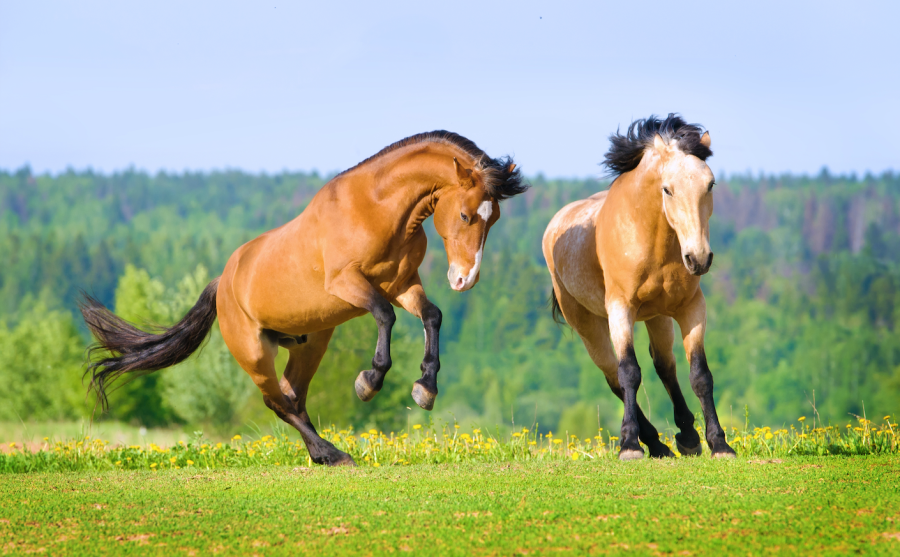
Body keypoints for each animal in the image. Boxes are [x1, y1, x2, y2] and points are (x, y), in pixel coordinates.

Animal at [80, 130, 527, 466]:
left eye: (493, 218)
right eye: (466, 215)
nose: (464, 279)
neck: (376, 209)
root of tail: (223, 283)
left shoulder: (402, 284)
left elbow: (431, 316)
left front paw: (425, 388)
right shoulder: (349, 284)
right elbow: (385, 316)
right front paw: (369, 381)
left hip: (310, 344)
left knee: (293, 395)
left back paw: (325, 453)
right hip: (255, 353)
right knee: (276, 400)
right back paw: (330, 452)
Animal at [542, 114, 735, 460]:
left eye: (710, 184)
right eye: (667, 189)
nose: (699, 258)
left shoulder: (691, 307)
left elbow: (700, 374)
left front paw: (719, 443)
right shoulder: (620, 309)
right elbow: (629, 372)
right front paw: (630, 444)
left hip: (657, 317)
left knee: (665, 366)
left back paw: (685, 436)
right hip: (588, 325)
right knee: (613, 376)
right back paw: (653, 440)